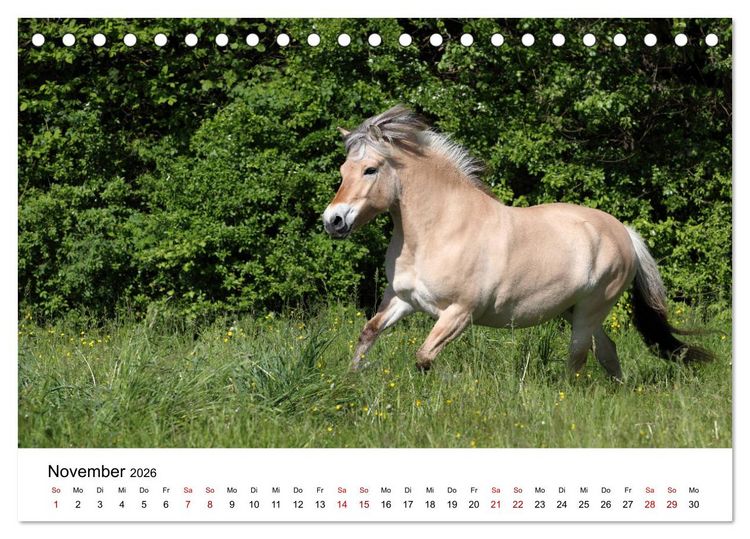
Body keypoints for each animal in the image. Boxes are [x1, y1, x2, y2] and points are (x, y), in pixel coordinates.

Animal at [322, 105, 712, 379]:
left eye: (370, 169)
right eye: (343, 171)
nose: (333, 221)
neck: (438, 232)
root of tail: (624, 232)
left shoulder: (459, 313)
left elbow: (424, 358)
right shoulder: (404, 300)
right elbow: (368, 334)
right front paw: (350, 380)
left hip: (591, 309)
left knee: (578, 359)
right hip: (580, 310)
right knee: (608, 352)